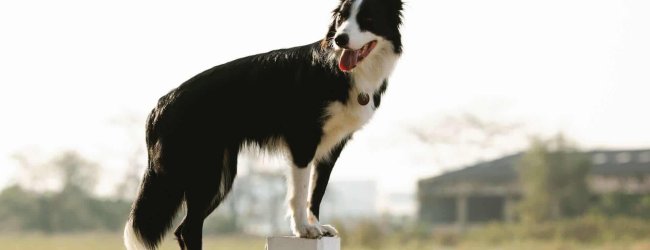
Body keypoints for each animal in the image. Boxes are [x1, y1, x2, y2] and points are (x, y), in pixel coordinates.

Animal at [123, 0, 400, 248]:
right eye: (341, 19)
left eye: (367, 19)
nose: (340, 39)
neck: (341, 70)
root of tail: (160, 105)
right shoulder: (303, 140)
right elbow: (299, 192)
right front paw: (303, 230)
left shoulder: (332, 147)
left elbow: (316, 192)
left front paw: (317, 227)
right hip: (204, 172)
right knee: (189, 228)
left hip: (221, 175)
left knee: (185, 228)